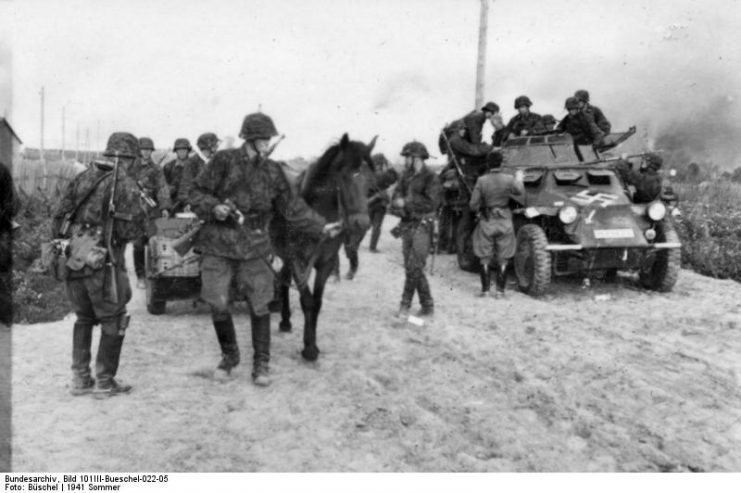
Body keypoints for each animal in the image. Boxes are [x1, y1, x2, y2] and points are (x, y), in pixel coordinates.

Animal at [268, 135, 376, 362]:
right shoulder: (298, 260)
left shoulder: (325, 262)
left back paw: (285, 320)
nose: (361, 223)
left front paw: (312, 342)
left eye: (369, 180)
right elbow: (307, 301)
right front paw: (309, 348)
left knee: (283, 280)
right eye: (345, 176)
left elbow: (317, 302)